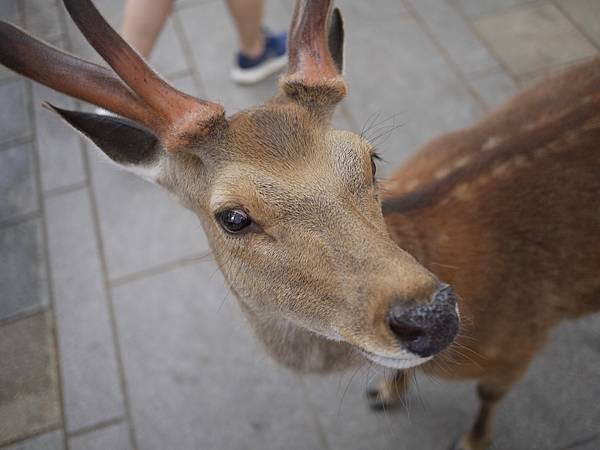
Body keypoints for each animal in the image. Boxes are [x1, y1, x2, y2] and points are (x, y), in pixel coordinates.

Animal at [1, 0, 600, 450]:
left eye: (370, 159)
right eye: (233, 217)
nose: (432, 317)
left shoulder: (524, 337)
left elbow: (488, 398)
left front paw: (470, 441)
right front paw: (387, 391)